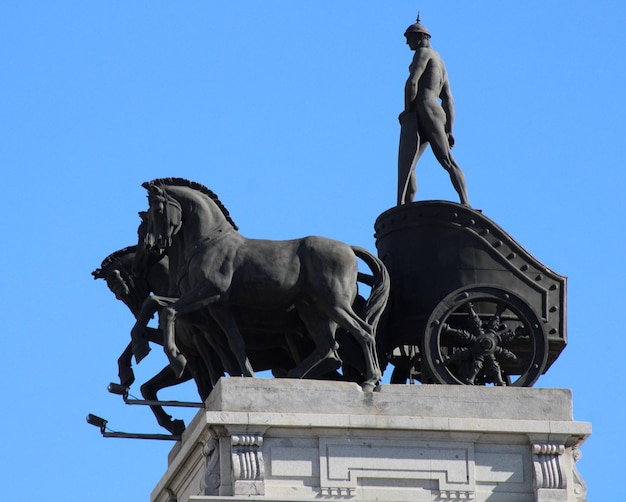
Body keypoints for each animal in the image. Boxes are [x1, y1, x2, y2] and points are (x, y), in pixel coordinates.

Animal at [134, 178, 388, 390]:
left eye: (158, 210)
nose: (151, 244)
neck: (209, 242)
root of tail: (349, 249)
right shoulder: (216, 306)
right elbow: (234, 342)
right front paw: (140, 346)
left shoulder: (210, 292)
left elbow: (168, 310)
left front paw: (176, 359)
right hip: (311, 310)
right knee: (329, 348)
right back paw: (293, 377)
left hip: (333, 304)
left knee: (363, 331)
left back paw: (369, 382)